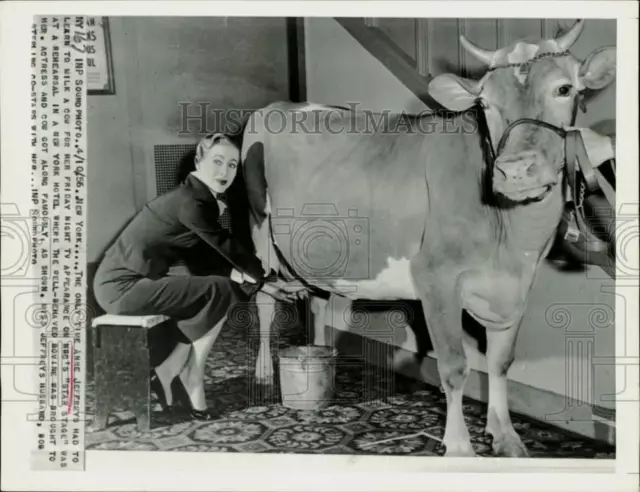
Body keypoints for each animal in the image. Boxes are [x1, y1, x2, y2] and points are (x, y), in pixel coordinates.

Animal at [239, 19, 616, 458]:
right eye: (484, 104)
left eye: (564, 88)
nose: (515, 171)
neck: (512, 240)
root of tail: (281, 106)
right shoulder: (436, 278)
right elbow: (454, 367)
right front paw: (459, 446)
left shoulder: (517, 287)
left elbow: (501, 362)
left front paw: (504, 435)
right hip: (260, 237)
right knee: (264, 300)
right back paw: (264, 371)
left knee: (315, 301)